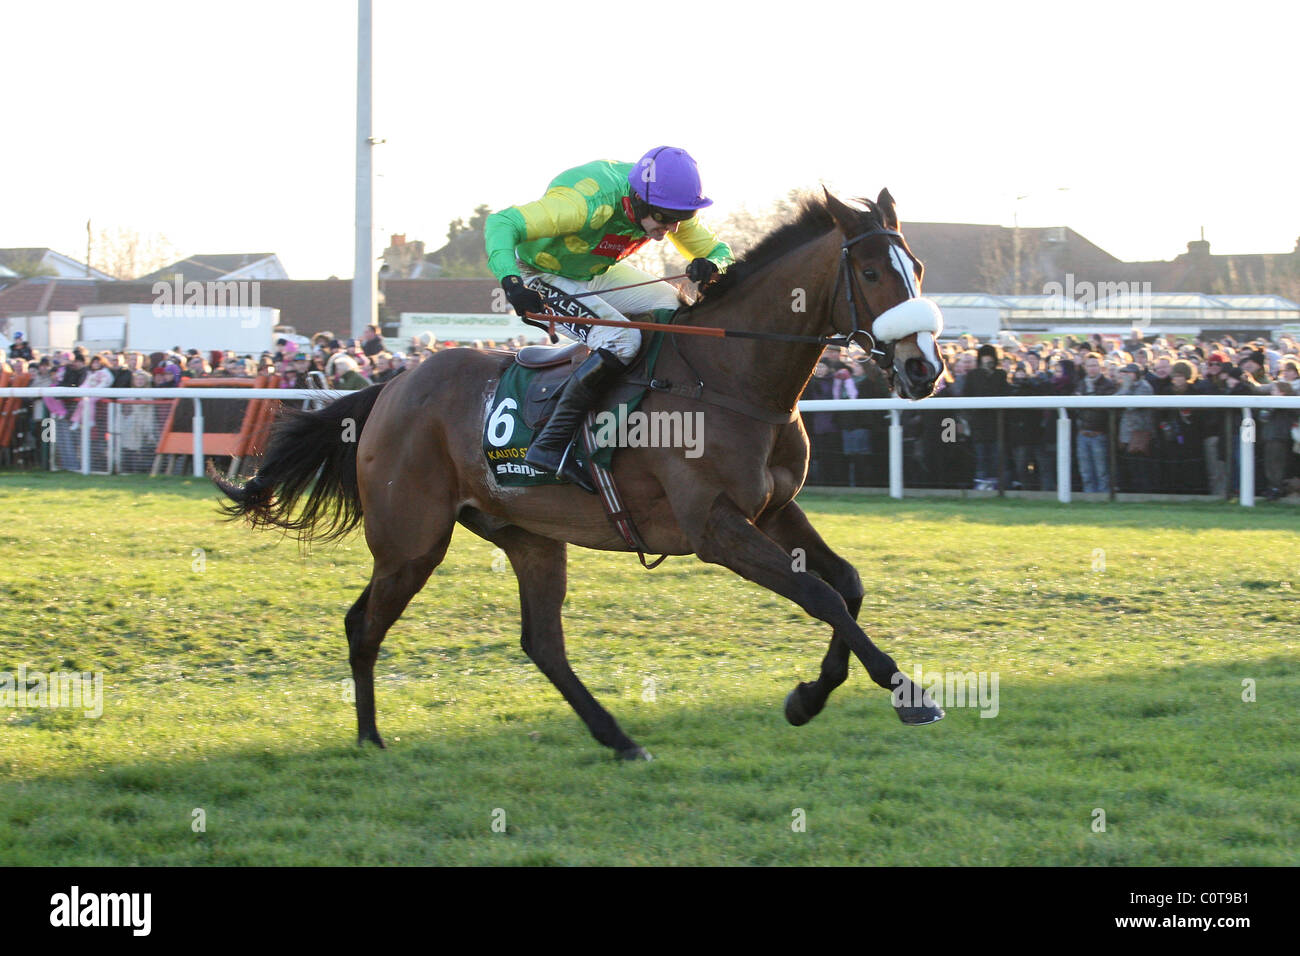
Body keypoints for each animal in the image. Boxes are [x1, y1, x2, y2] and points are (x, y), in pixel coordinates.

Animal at [210, 187, 946, 759]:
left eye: (917, 267)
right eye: (873, 273)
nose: (925, 368)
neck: (728, 377)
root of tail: (390, 387)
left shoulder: (774, 509)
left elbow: (846, 584)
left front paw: (810, 696)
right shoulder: (714, 528)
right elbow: (819, 595)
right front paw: (905, 693)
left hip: (527, 535)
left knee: (542, 643)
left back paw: (619, 739)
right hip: (410, 542)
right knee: (363, 625)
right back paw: (369, 739)